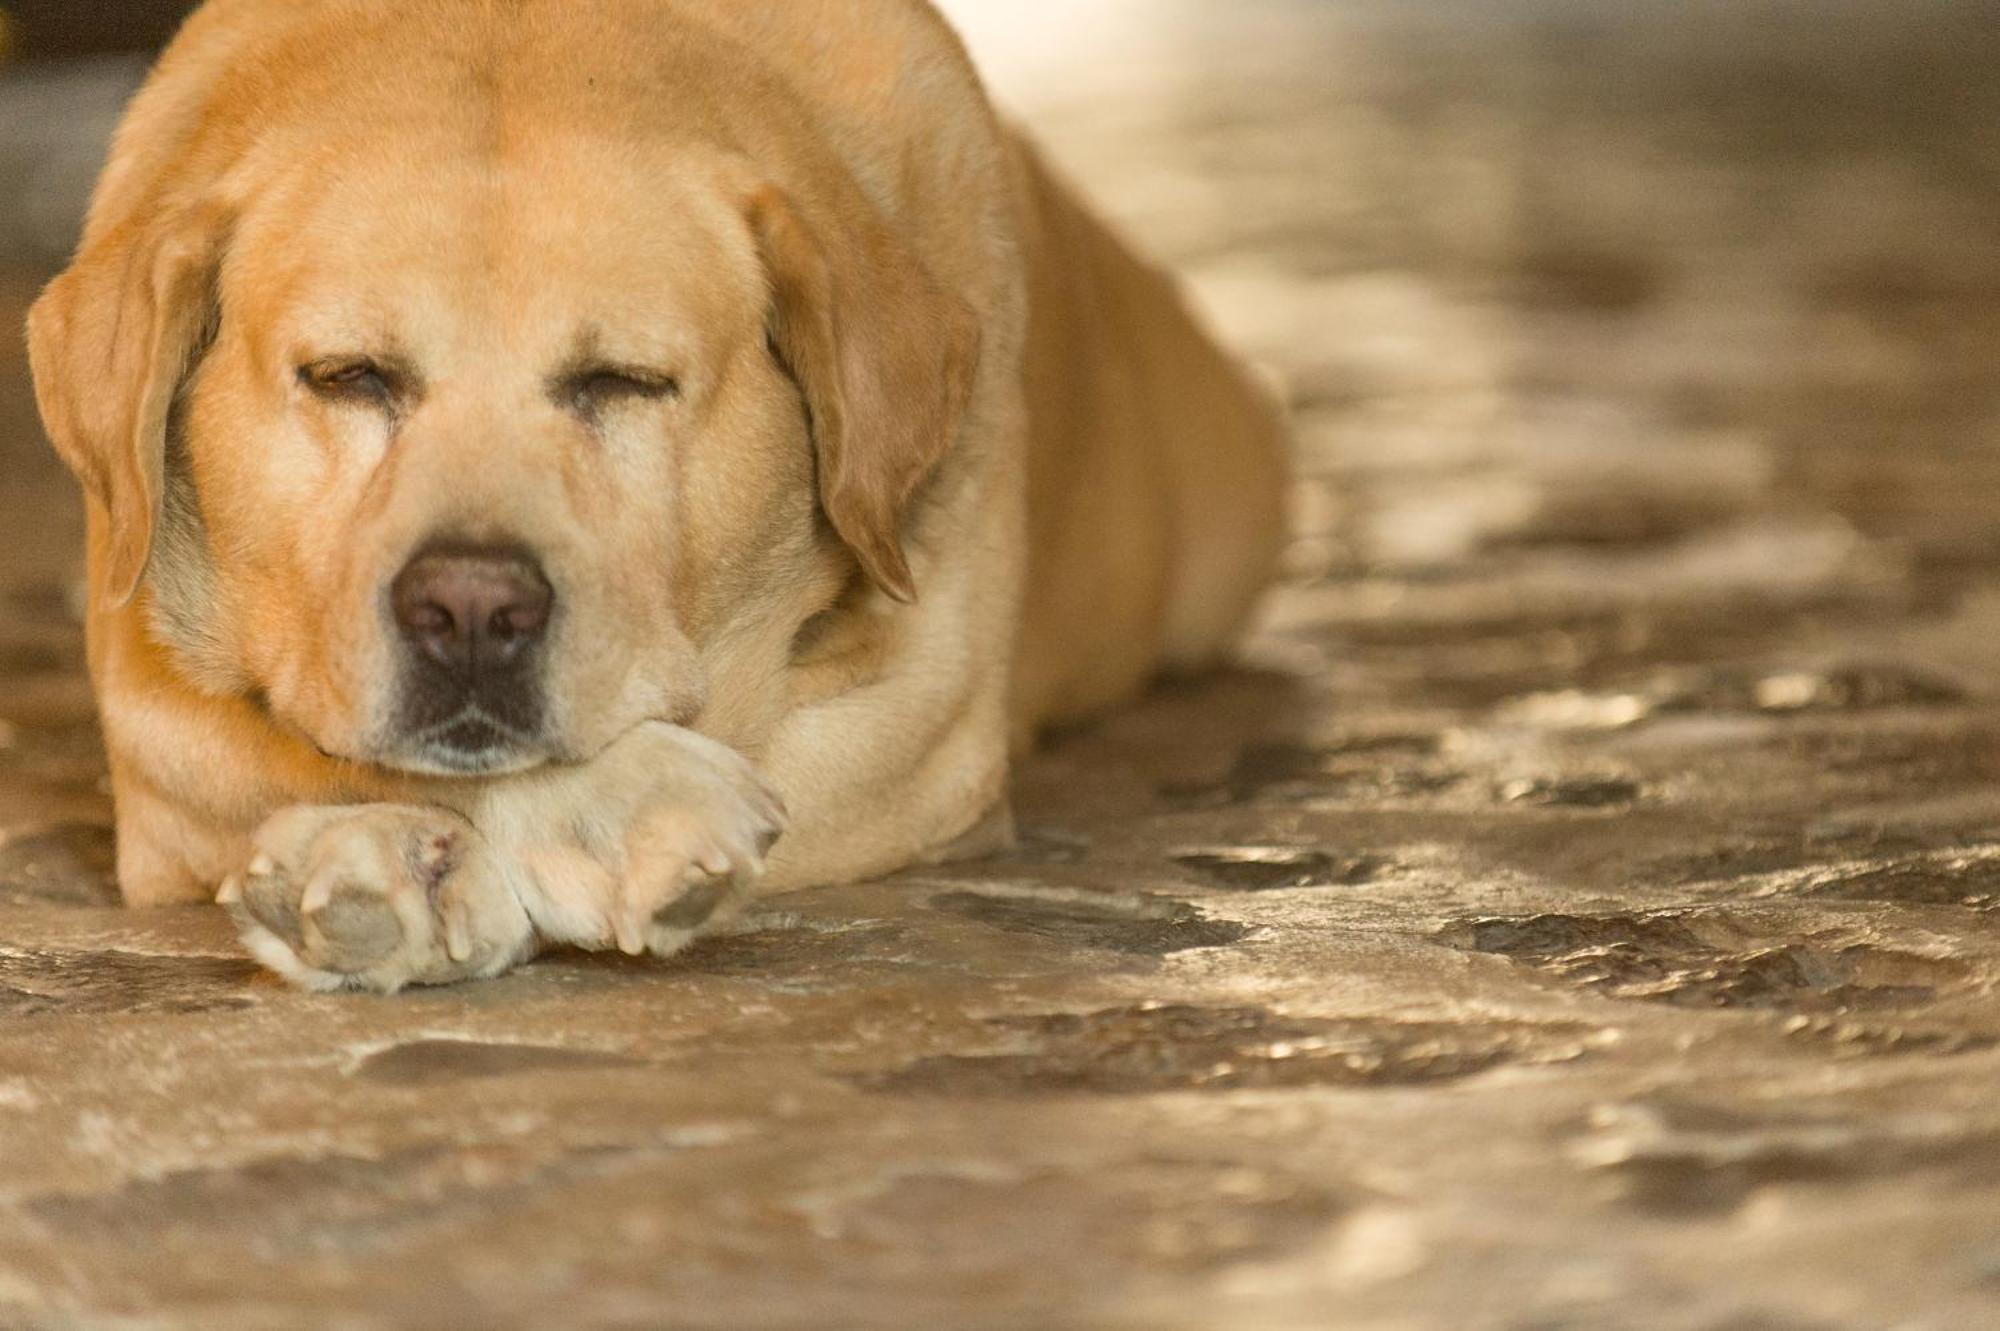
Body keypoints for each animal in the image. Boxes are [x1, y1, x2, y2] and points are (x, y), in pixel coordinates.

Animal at [27, 0, 1280, 983]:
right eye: (350, 376)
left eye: (622, 381)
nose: (470, 611)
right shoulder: (149, 714)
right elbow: (300, 744)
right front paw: (409, 855)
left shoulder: (920, 741)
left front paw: (594, 818)